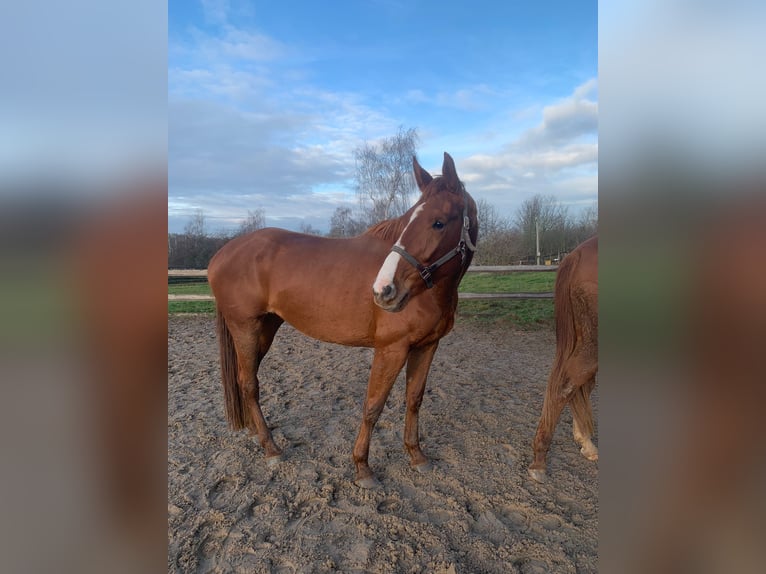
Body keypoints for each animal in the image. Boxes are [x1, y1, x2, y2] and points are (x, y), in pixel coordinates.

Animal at [207, 154, 476, 490]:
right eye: (407, 224)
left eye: (439, 222)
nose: (384, 290)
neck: (430, 291)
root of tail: (220, 255)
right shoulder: (391, 349)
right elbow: (373, 405)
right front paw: (362, 467)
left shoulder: (427, 346)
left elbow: (414, 399)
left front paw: (417, 456)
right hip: (245, 327)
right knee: (248, 384)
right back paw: (271, 449)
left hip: (264, 329)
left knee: (248, 380)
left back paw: (259, 435)